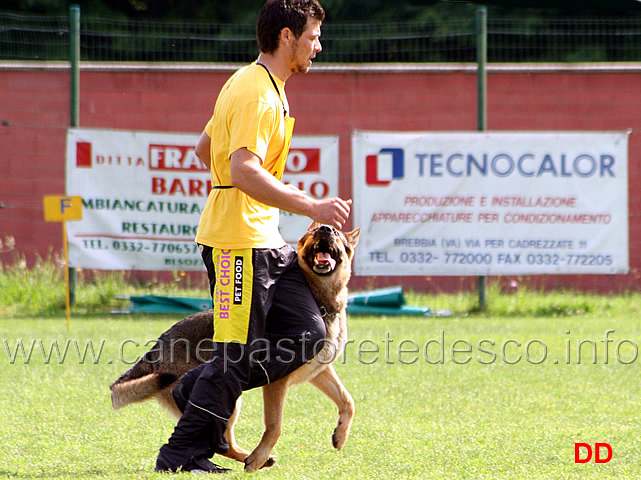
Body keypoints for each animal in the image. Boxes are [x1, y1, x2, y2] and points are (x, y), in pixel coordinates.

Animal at [110, 225, 360, 472]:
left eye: (336, 233)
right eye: (315, 231)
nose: (325, 228)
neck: (323, 303)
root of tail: (159, 346)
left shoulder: (319, 372)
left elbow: (348, 401)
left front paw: (340, 435)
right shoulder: (277, 384)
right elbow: (275, 426)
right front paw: (258, 457)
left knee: (222, 441)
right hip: (231, 398)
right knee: (222, 440)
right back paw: (251, 458)